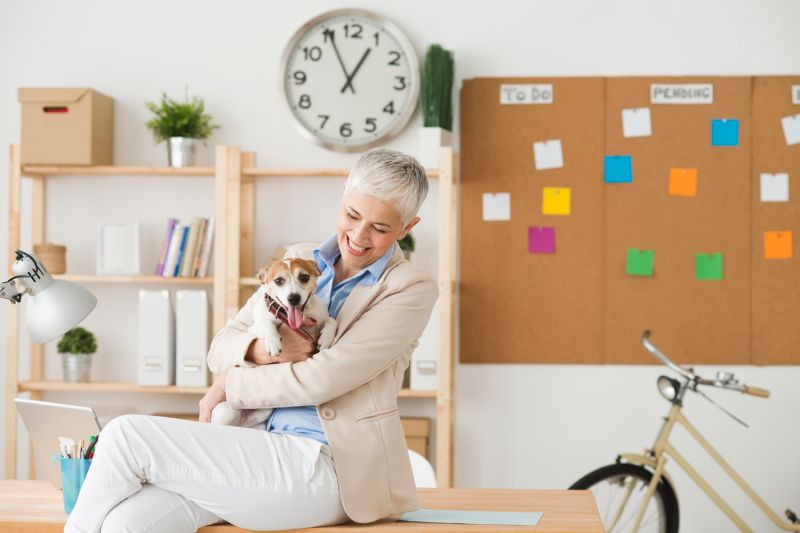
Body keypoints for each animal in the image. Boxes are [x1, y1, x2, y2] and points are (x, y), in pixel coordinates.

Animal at [209, 256, 334, 428]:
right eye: (278, 281)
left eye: (304, 277)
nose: (293, 298)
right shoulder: (254, 328)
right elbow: (266, 323)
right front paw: (273, 342)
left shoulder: (320, 318)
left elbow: (332, 320)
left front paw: (327, 337)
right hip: (225, 413)